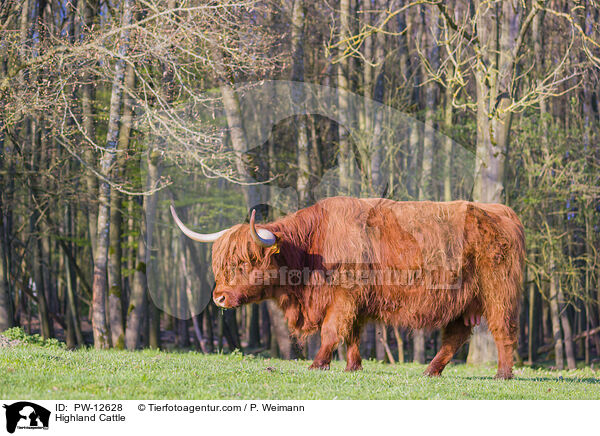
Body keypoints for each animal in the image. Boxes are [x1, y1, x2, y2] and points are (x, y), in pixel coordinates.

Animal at [171, 197, 524, 378]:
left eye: (244, 262)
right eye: (221, 263)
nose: (219, 297)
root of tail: (502, 211)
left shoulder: (344, 296)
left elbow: (332, 330)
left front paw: (318, 364)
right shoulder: (356, 302)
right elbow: (352, 334)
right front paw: (353, 367)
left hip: (499, 292)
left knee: (503, 331)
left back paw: (503, 374)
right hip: (462, 302)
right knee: (456, 335)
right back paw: (430, 371)